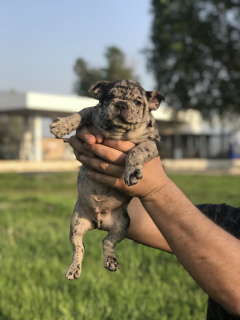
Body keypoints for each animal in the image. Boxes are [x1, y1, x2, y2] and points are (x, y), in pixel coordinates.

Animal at [49, 80, 164, 280]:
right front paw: (62, 125)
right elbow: (80, 113)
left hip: (122, 225)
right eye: (109, 96)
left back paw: (110, 261)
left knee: (107, 242)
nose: (121, 104)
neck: (118, 132)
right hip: (76, 224)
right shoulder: (92, 112)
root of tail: (98, 223)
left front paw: (132, 170)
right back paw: (74, 269)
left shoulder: (151, 142)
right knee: (79, 247)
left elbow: (138, 150)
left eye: (138, 102)